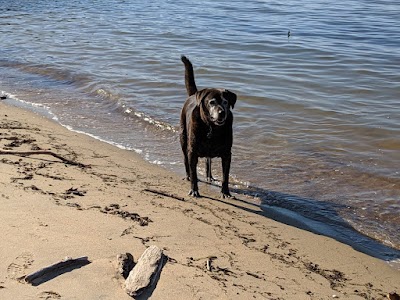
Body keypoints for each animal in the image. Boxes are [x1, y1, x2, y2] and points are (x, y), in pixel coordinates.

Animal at [179, 55, 238, 198]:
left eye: (226, 102)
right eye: (212, 102)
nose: (222, 113)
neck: (212, 128)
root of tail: (193, 95)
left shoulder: (227, 154)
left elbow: (225, 176)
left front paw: (225, 192)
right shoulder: (192, 152)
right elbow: (194, 173)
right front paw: (194, 190)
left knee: (208, 160)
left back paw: (209, 176)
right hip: (183, 138)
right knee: (185, 159)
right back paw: (187, 176)